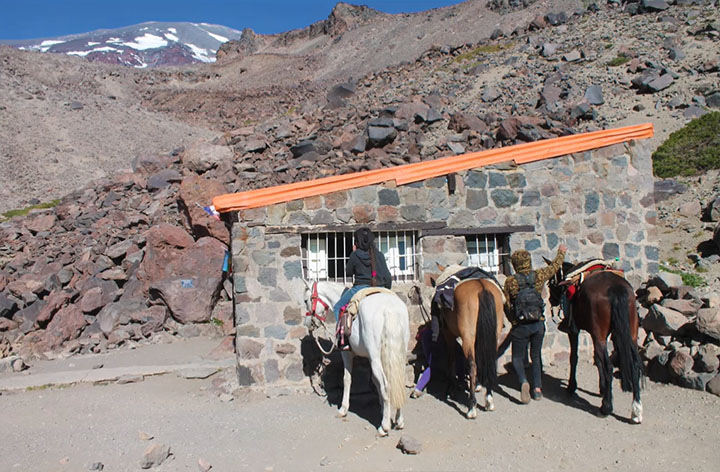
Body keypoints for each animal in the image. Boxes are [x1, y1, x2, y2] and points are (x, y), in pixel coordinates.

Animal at [300, 278, 408, 436]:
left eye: (306, 300)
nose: (308, 323)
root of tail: (390, 309)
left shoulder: (347, 353)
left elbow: (347, 379)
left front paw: (343, 409)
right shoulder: (369, 357)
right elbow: (375, 381)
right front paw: (383, 410)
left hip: (376, 358)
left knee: (387, 385)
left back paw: (384, 427)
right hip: (398, 355)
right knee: (396, 380)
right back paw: (399, 421)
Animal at [436, 272, 504, 418]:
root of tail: (482, 288)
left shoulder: (449, 334)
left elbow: (451, 360)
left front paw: (450, 389)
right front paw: (477, 385)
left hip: (467, 338)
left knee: (472, 366)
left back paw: (472, 406)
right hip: (493, 336)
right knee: (489, 362)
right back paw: (489, 399)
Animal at [548, 262, 644, 424]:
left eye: (550, 283)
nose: (550, 300)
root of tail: (615, 288)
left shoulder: (574, 331)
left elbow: (574, 358)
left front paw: (572, 387)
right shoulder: (601, 335)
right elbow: (597, 360)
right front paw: (603, 388)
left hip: (599, 336)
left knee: (609, 366)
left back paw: (606, 408)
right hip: (630, 333)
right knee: (635, 364)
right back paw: (636, 410)